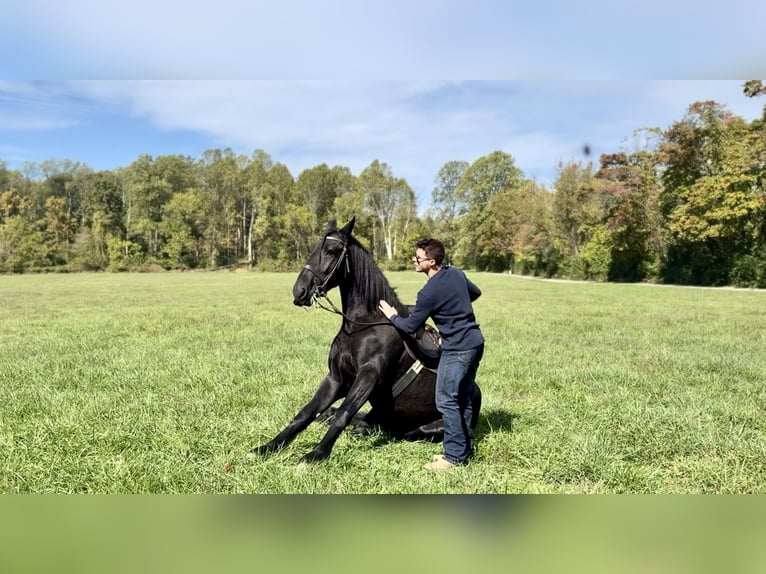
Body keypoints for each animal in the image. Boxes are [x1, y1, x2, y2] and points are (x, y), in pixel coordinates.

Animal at [251, 217, 482, 463]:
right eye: (313, 249)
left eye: (332, 251)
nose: (299, 291)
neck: (362, 326)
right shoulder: (336, 378)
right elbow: (307, 412)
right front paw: (268, 447)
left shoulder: (369, 375)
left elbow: (343, 413)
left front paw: (316, 455)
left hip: (427, 427)